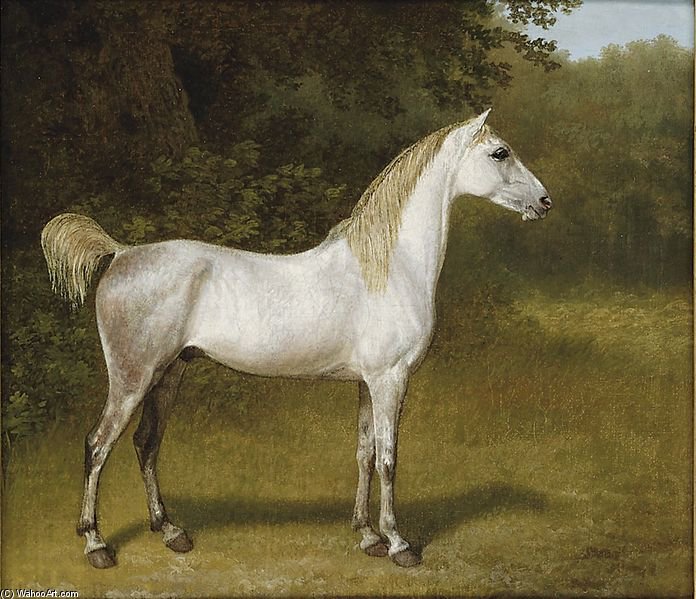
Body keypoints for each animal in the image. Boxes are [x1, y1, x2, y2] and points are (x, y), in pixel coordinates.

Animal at [41, 109, 552, 570]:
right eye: (500, 152)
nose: (544, 202)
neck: (388, 268)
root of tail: (121, 253)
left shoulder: (366, 383)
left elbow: (364, 453)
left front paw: (367, 536)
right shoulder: (390, 380)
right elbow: (388, 459)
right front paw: (398, 544)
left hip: (169, 374)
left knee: (146, 444)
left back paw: (170, 532)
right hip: (132, 378)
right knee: (97, 445)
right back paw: (97, 546)